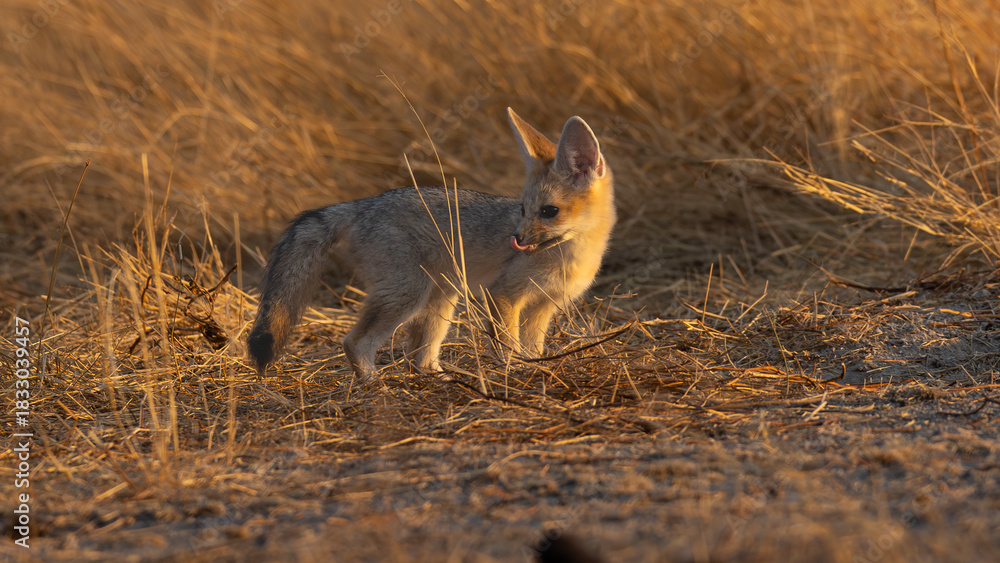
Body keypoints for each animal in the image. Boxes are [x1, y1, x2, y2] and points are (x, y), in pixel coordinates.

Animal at [247, 108, 615, 382]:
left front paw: (536, 369)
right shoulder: (503, 295)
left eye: (548, 211)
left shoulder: (543, 305)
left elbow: (532, 348)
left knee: (419, 357)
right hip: (410, 293)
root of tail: (363, 204)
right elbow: (508, 347)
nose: (518, 239)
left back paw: (437, 378)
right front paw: (513, 373)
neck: (572, 255)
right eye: (524, 209)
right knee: (355, 343)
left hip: (441, 299)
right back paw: (375, 385)